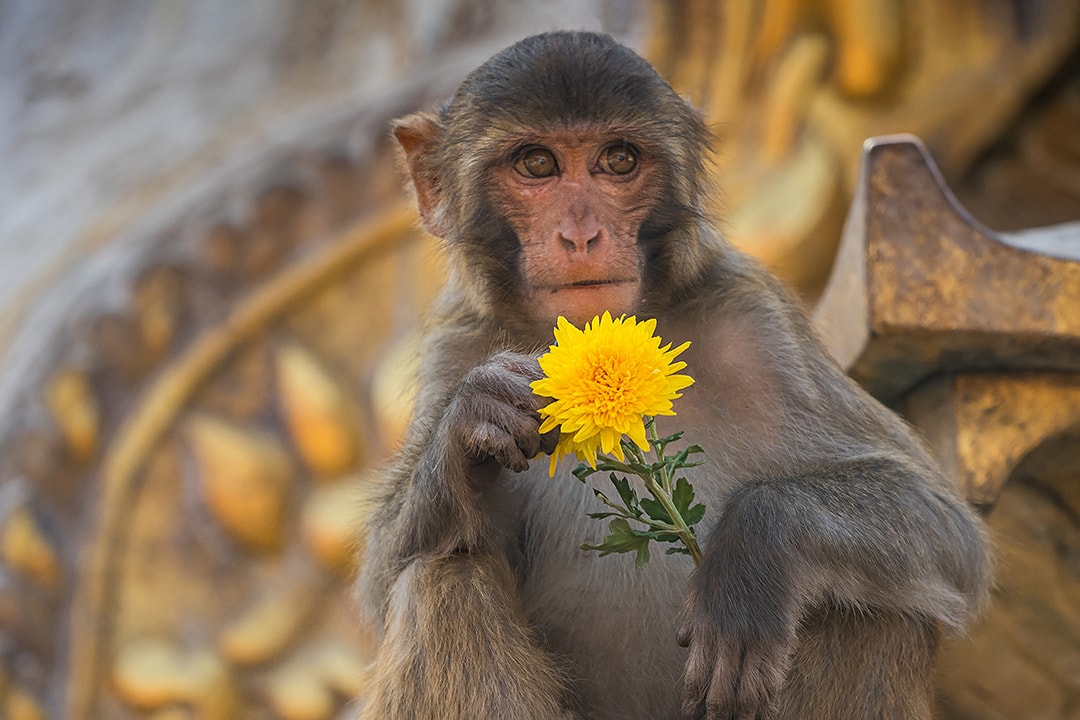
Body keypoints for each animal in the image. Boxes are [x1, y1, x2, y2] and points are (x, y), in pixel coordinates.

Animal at [354, 29, 989, 720]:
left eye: (618, 160)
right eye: (537, 164)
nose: (582, 235)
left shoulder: (757, 320)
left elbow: (948, 532)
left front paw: (755, 555)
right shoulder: (457, 342)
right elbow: (380, 585)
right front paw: (475, 419)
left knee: (880, 611)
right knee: (443, 575)